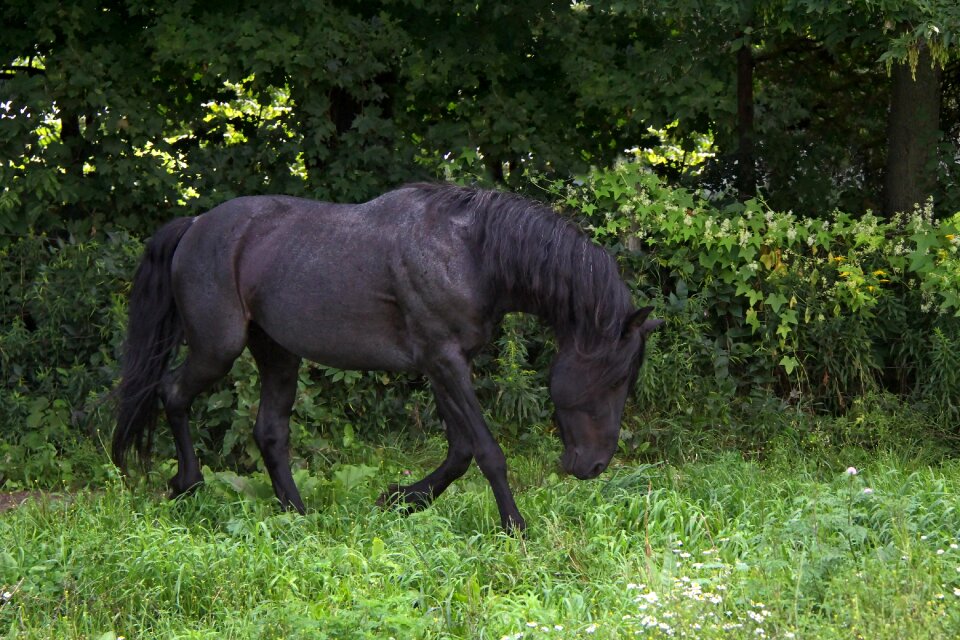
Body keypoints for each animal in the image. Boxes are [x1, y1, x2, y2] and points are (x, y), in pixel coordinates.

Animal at [114, 184, 660, 528]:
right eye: (614, 377)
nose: (594, 465)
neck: (472, 253)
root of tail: (195, 224)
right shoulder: (445, 361)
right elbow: (487, 451)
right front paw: (515, 527)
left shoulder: (442, 365)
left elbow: (460, 451)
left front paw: (400, 500)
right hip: (217, 348)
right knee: (172, 394)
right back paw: (187, 484)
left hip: (277, 354)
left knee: (269, 432)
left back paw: (297, 515)